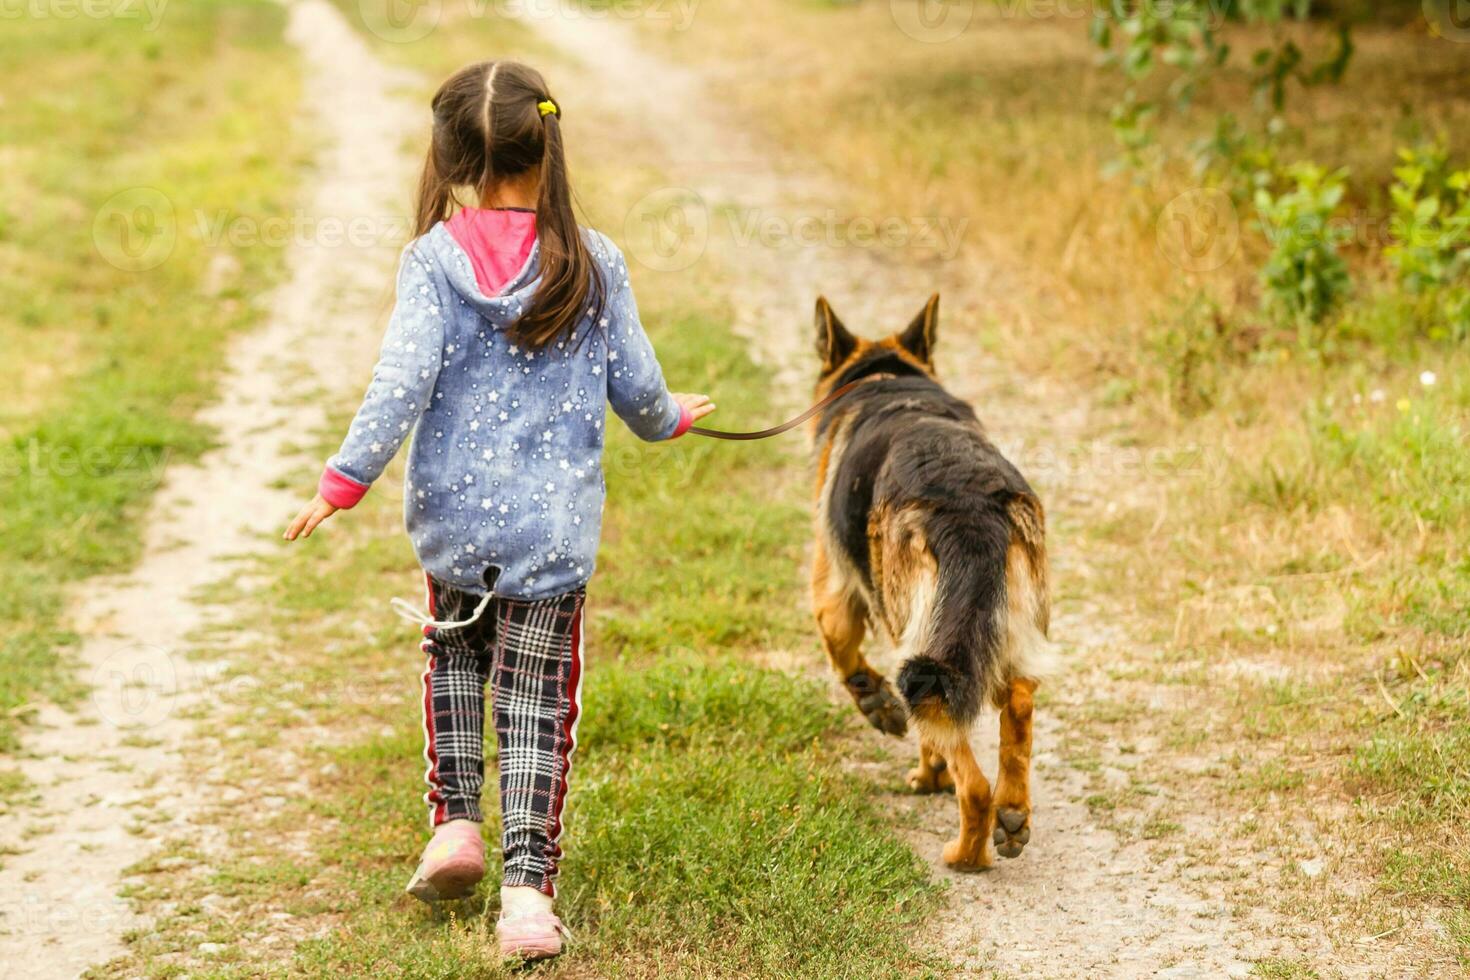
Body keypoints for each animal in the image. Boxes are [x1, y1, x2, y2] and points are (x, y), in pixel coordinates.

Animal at [811, 295, 1052, 869]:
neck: (887, 377)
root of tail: (970, 500)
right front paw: (931, 769)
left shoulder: (835, 592)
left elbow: (841, 652)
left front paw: (883, 714)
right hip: (1005, 638)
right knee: (1018, 705)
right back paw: (1013, 815)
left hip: (921, 646)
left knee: (974, 782)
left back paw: (965, 853)